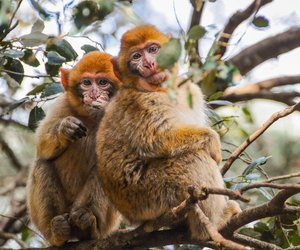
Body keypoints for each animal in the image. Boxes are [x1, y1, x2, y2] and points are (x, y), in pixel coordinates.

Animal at [26, 51, 122, 246]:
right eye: (87, 83)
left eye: (103, 82)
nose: (94, 94)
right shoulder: (63, 104)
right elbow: (42, 146)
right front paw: (64, 128)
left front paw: (104, 108)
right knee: (42, 163)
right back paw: (57, 231)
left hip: (106, 225)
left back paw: (87, 225)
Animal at [96, 24, 241, 240]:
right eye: (136, 56)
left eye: (152, 49)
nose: (148, 63)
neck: (162, 89)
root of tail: (132, 217)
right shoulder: (142, 103)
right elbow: (156, 139)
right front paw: (213, 141)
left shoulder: (191, 89)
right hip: (149, 194)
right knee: (193, 158)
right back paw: (210, 226)